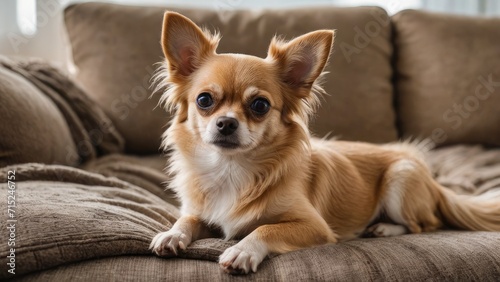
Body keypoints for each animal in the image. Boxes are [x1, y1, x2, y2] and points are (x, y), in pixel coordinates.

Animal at [150, 12, 500, 274]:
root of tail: (428, 174)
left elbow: (264, 228)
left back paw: (383, 228)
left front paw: (242, 251)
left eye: (260, 105)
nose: (226, 123)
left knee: (425, 224)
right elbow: (186, 218)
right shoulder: (200, 211)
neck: (232, 168)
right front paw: (171, 234)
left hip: (401, 178)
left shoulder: (314, 226)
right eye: (204, 100)